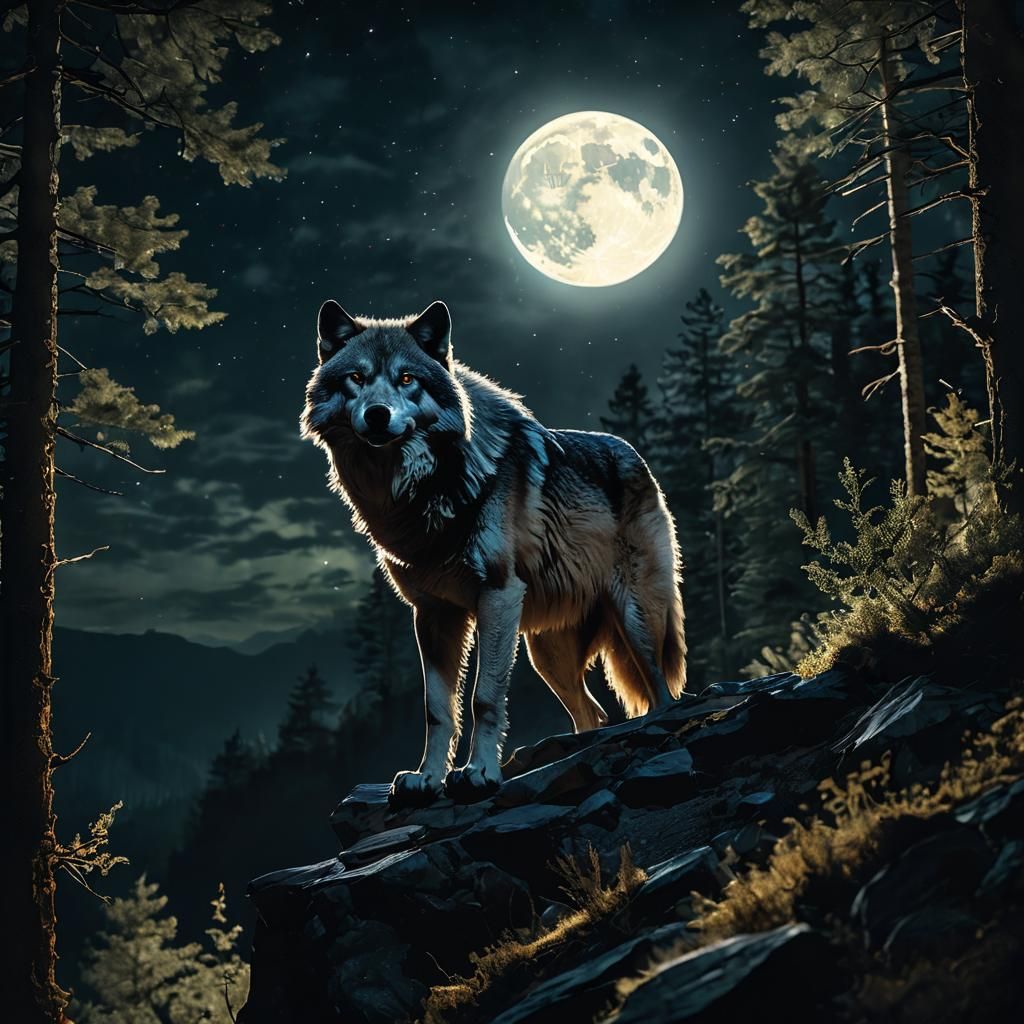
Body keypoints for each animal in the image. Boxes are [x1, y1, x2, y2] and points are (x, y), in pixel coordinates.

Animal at [302, 299, 686, 805]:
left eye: (406, 378)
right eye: (357, 378)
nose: (378, 415)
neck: (426, 491)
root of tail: (638, 459)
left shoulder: (497, 596)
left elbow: (483, 697)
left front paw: (480, 772)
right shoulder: (432, 613)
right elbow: (437, 707)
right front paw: (426, 778)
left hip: (636, 621)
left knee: (662, 694)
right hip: (547, 653)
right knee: (595, 714)